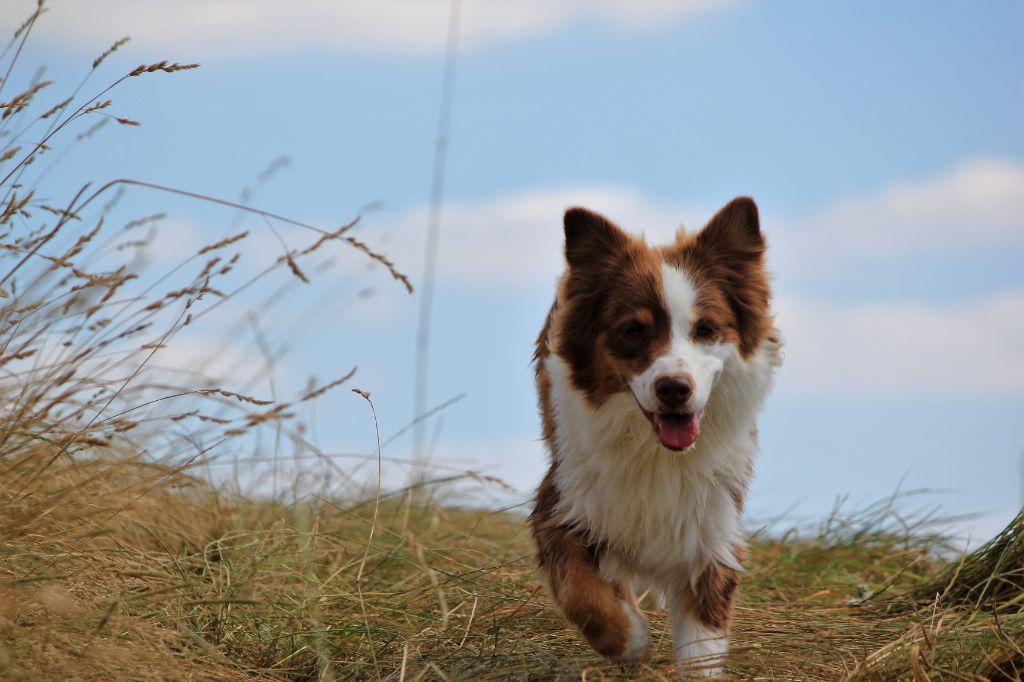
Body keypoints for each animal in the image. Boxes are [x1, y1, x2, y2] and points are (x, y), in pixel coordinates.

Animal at [532, 196, 778, 675]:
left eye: (705, 329)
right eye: (633, 330)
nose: (674, 388)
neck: (657, 451)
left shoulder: (713, 531)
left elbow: (703, 649)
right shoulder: (561, 503)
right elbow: (582, 591)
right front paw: (629, 638)